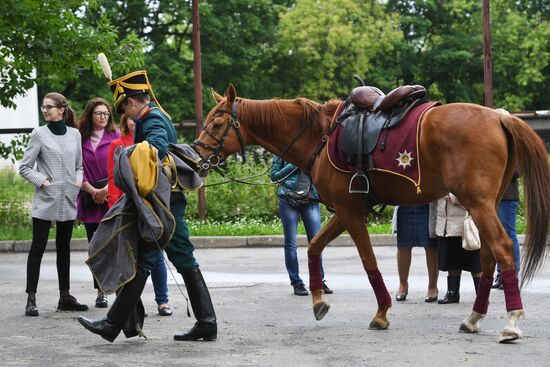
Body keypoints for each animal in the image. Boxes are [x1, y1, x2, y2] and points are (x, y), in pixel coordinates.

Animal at [195, 85, 550, 344]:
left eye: (217, 123)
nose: (196, 155)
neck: (322, 136)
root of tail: (499, 116)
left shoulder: (350, 212)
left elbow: (368, 261)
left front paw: (381, 312)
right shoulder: (344, 211)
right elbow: (314, 247)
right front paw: (318, 300)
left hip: (478, 203)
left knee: (502, 249)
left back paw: (512, 322)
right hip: (484, 205)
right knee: (489, 255)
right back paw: (474, 317)